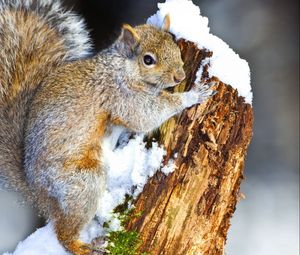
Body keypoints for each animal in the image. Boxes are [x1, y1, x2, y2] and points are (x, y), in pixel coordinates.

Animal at [0, 0, 216, 255]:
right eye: (148, 60)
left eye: (174, 47)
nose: (179, 76)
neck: (122, 67)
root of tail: (37, 192)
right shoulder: (121, 96)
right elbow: (146, 114)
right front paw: (192, 95)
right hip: (81, 182)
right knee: (64, 232)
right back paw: (83, 246)